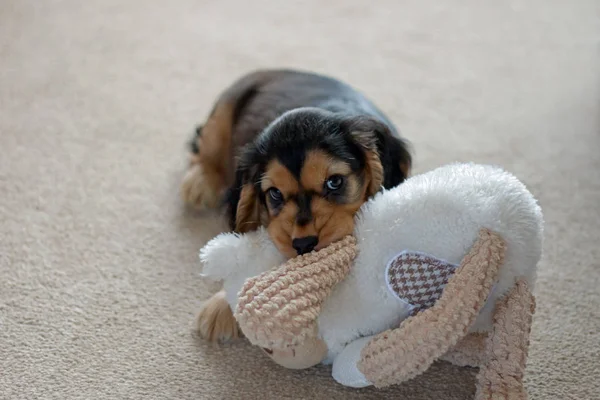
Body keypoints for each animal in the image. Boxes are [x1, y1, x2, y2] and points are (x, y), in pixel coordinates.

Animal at [186, 69, 412, 340]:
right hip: (222, 116)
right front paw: (222, 304)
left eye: (335, 182)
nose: (304, 244)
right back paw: (199, 182)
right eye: (274, 194)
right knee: (206, 151)